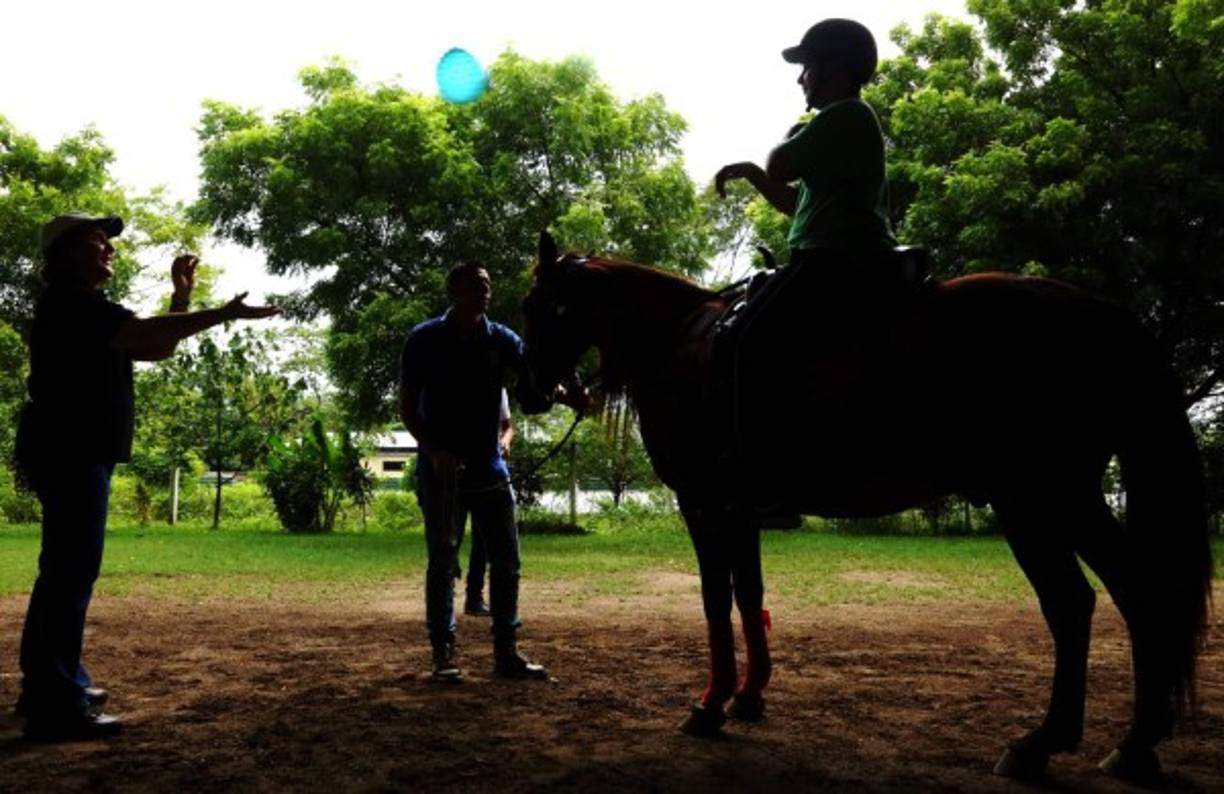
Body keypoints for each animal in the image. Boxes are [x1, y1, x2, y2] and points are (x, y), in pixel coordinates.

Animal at [520, 231, 1213, 784]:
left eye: (537, 306)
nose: (527, 391)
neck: (678, 342)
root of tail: (1101, 314)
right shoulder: (741, 510)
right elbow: (749, 593)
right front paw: (749, 695)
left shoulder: (704, 502)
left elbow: (716, 600)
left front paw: (710, 704)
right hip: (1059, 499)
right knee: (1123, 597)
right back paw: (1130, 744)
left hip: (1039, 498)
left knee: (1080, 602)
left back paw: (1053, 742)